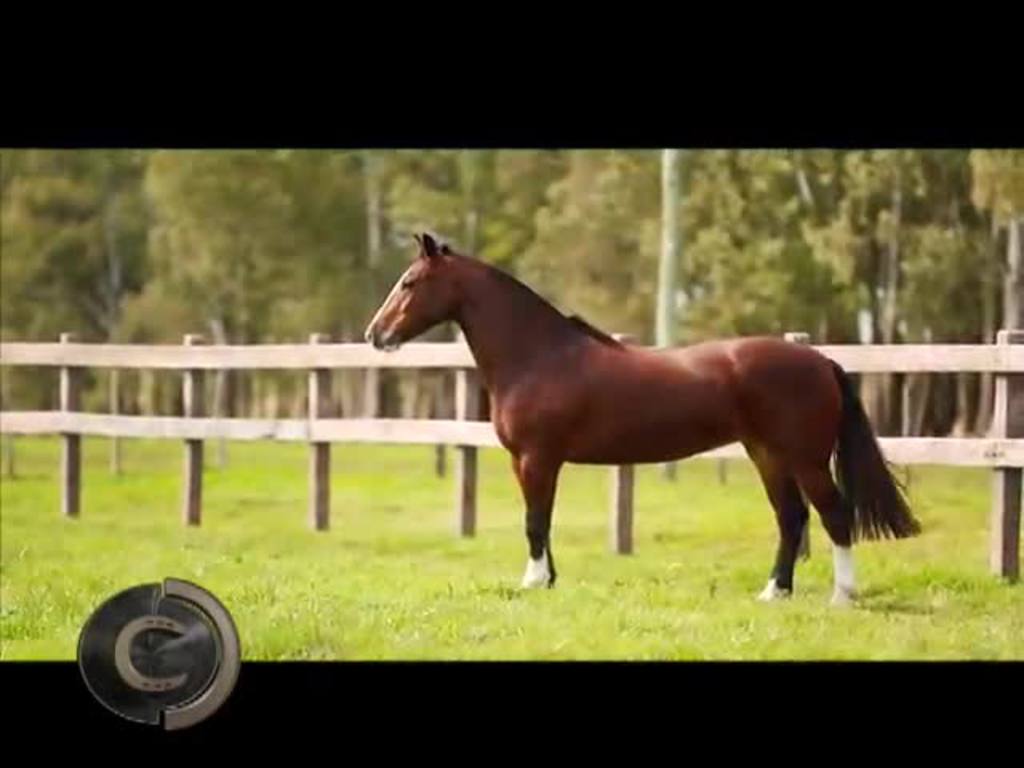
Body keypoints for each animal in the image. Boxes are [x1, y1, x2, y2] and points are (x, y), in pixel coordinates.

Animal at [366, 233, 921, 606]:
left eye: (410, 282)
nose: (376, 334)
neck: (540, 356)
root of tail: (820, 360)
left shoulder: (537, 459)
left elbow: (535, 521)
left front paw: (532, 582)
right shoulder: (534, 462)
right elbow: (542, 521)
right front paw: (548, 580)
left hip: (804, 458)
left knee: (834, 515)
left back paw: (842, 595)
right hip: (767, 455)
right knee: (792, 517)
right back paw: (773, 592)